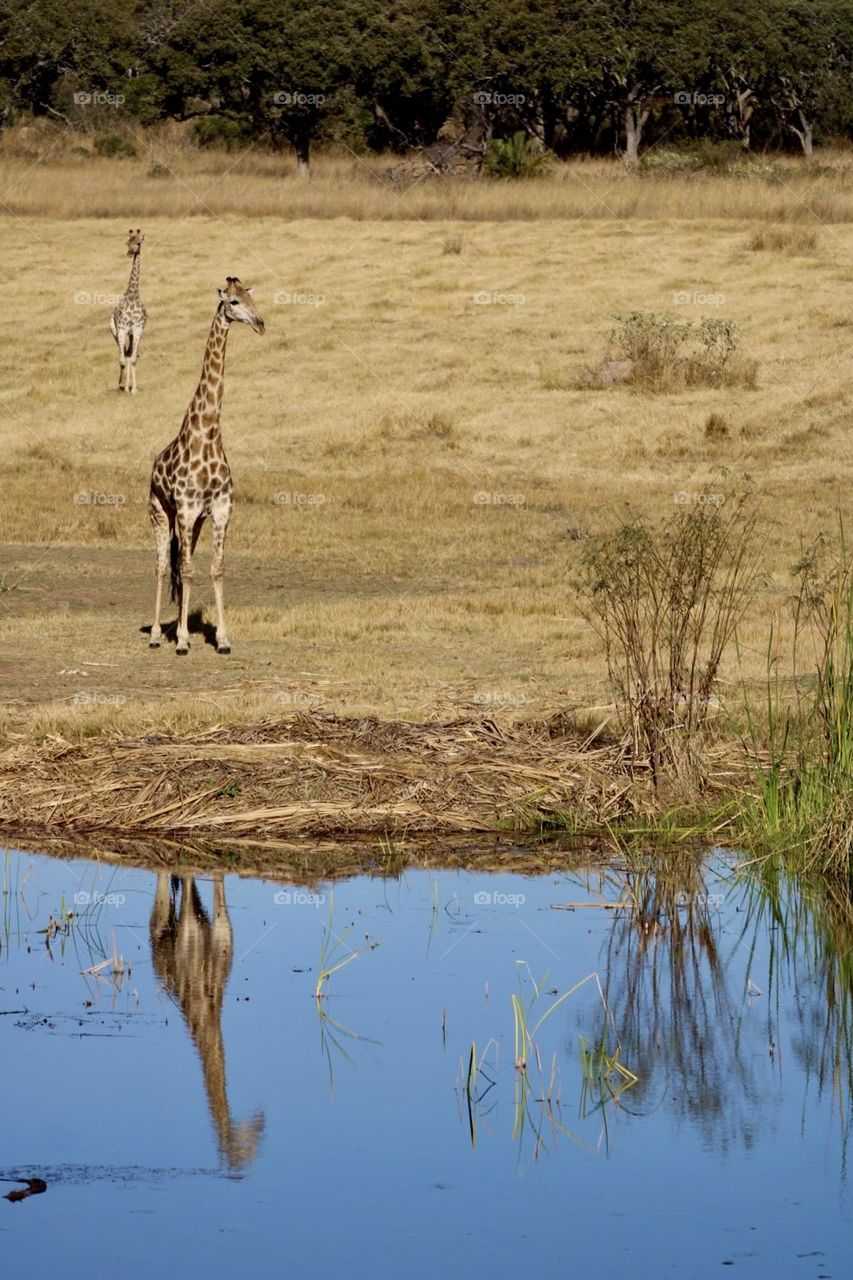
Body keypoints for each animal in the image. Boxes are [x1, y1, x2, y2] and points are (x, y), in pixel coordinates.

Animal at [148, 277, 264, 656]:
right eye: (233, 302)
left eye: (251, 299)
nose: (260, 323)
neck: (208, 432)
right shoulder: (184, 509)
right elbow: (185, 570)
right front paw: (183, 640)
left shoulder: (221, 509)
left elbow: (215, 568)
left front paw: (223, 640)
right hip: (160, 511)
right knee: (162, 564)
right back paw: (157, 634)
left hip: (194, 522)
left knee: (179, 562)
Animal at [150, 873, 265, 1170]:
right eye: (245, 1150)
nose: (259, 1122)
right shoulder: (188, 924)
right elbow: (188, 881)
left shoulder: (222, 929)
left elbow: (217, 886)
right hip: (160, 928)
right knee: (162, 896)